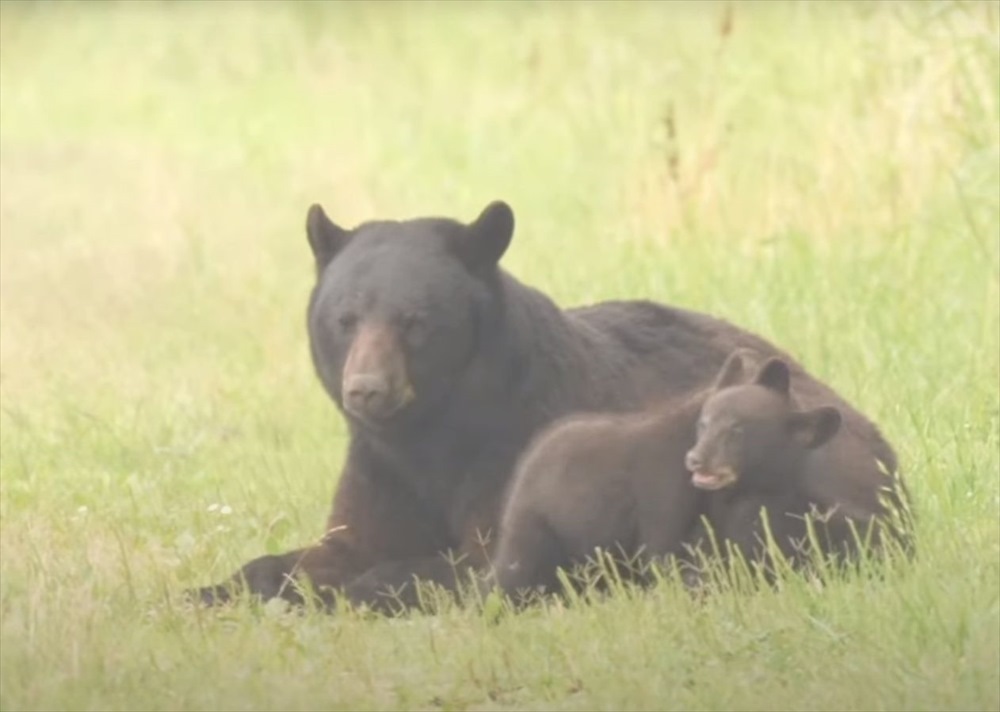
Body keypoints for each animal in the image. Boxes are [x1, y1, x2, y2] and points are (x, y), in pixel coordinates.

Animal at [189, 199, 916, 612]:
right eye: (345, 318)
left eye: (415, 320)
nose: (366, 389)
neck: (431, 435)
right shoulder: (378, 468)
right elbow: (339, 544)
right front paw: (218, 587)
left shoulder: (516, 447)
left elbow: (475, 555)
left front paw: (369, 588)